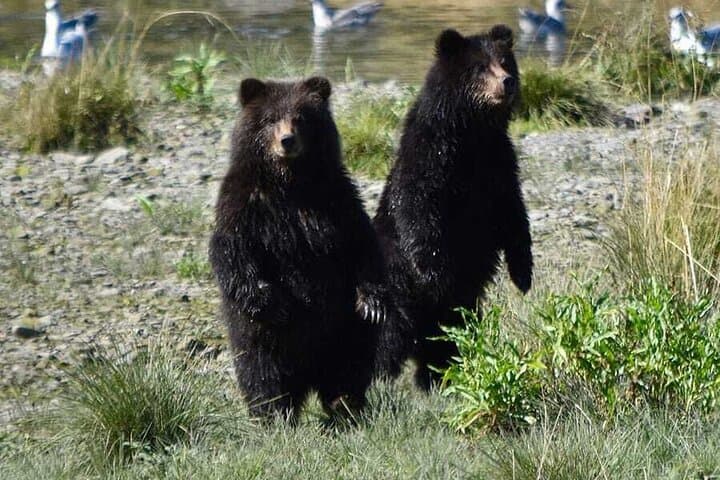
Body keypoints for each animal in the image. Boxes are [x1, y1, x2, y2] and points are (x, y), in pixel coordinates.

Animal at [209, 76, 390, 422]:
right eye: (270, 119)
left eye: (301, 117)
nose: (287, 140)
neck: (289, 182)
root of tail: (307, 377)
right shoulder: (244, 205)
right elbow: (231, 250)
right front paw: (268, 299)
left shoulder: (336, 200)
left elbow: (362, 244)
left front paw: (372, 302)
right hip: (260, 338)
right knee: (263, 374)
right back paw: (273, 414)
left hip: (341, 329)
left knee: (349, 366)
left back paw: (345, 407)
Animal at [373, 25, 533, 390]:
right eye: (480, 67)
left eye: (505, 62)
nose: (507, 82)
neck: (470, 132)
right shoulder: (430, 161)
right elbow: (419, 213)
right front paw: (436, 272)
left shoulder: (498, 166)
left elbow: (514, 216)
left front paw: (523, 275)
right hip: (395, 290)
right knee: (387, 338)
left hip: (457, 311)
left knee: (446, 341)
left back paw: (438, 377)